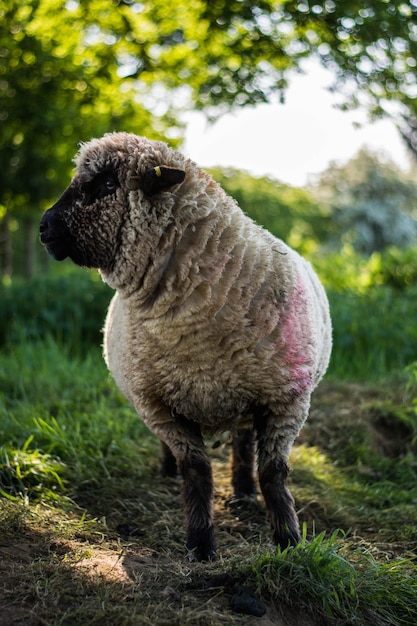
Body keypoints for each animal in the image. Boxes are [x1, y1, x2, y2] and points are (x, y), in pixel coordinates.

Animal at [39, 133, 332, 560]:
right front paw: (200, 545)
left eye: (107, 184)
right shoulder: (160, 406)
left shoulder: (286, 401)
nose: (43, 226)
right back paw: (170, 472)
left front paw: (288, 542)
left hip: (247, 391)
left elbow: (274, 474)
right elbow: (196, 472)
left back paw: (243, 491)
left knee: (243, 440)